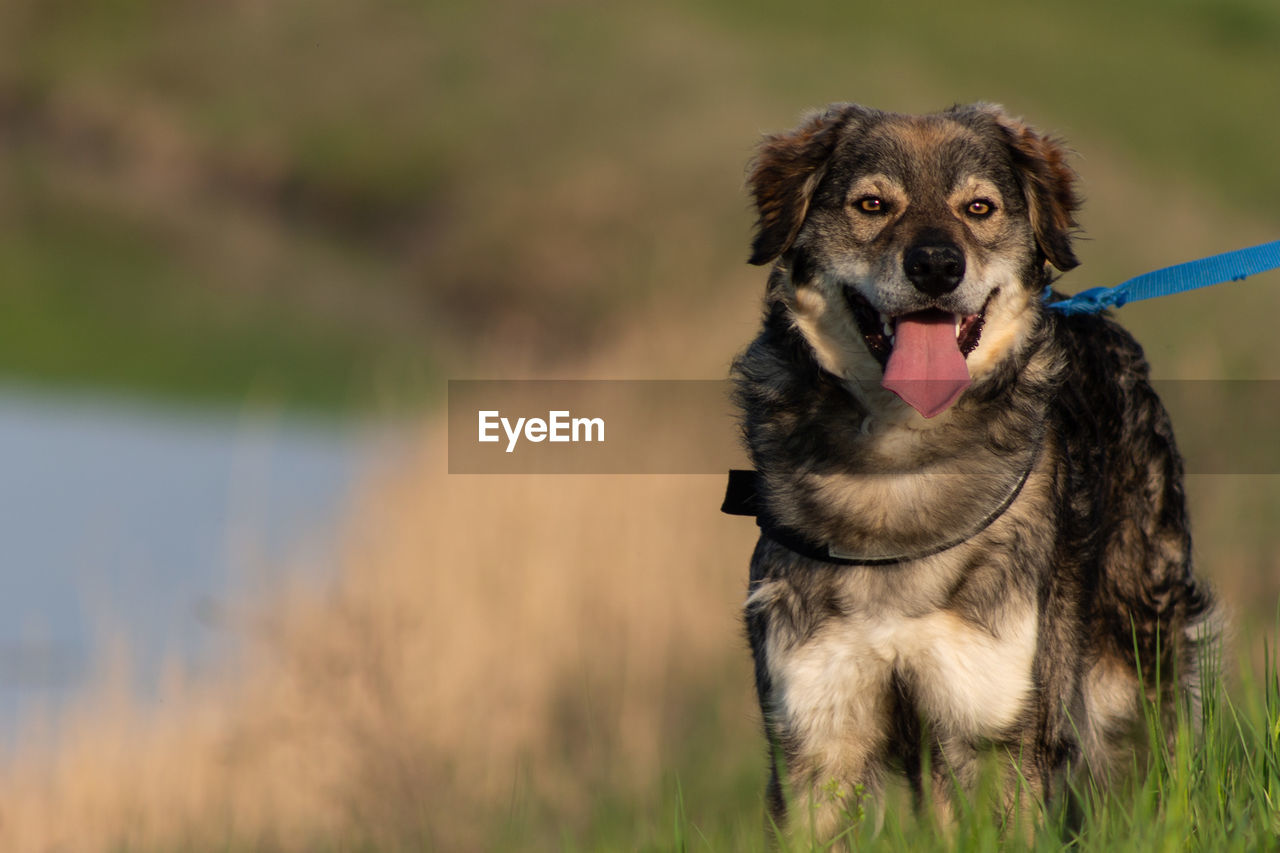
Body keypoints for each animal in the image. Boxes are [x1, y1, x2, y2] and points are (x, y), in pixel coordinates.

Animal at [732, 103, 1208, 840]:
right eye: (873, 204)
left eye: (978, 208)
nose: (935, 264)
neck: (898, 473)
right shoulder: (818, 737)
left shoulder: (993, 732)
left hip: (1131, 686)